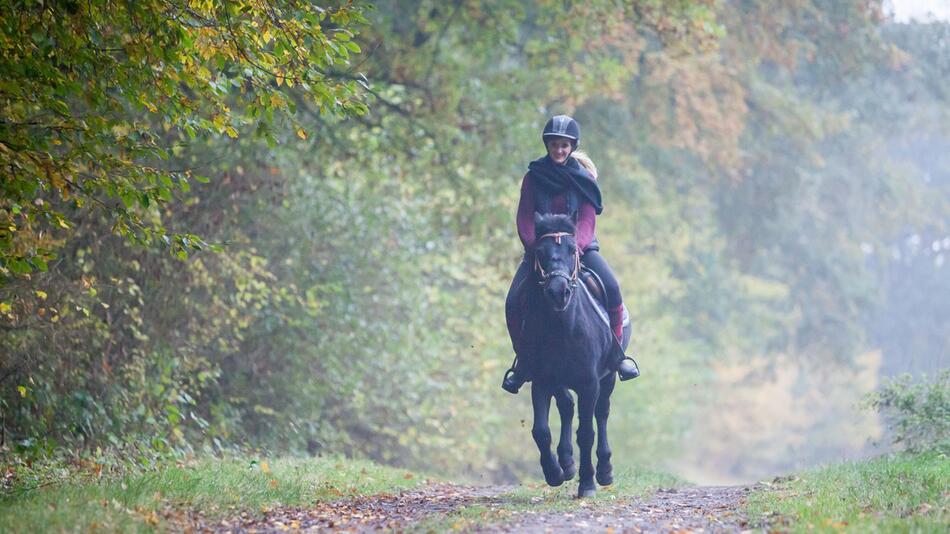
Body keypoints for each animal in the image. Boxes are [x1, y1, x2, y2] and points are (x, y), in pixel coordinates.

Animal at [516, 214, 628, 498]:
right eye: (540, 252)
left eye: (572, 250)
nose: (559, 291)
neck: (562, 327)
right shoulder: (542, 380)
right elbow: (541, 431)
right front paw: (554, 473)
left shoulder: (590, 383)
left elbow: (586, 432)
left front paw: (587, 484)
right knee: (566, 406)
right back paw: (566, 464)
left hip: (608, 377)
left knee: (602, 412)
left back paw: (604, 470)